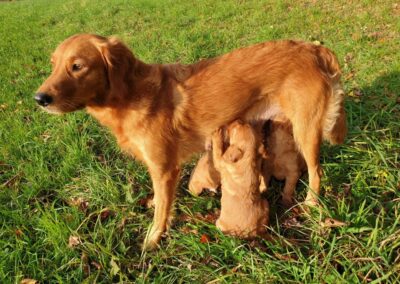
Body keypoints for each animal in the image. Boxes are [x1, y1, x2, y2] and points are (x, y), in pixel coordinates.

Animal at [36, 35, 346, 248]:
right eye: (53, 65)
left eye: (77, 66)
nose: (39, 99)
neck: (129, 95)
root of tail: (314, 49)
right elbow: (162, 200)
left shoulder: (165, 169)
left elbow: (162, 210)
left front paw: (153, 239)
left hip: (306, 130)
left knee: (316, 171)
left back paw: (311, 203)